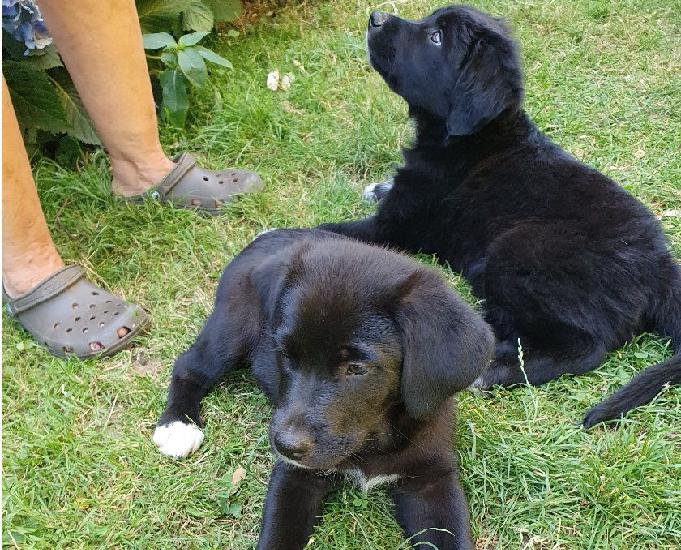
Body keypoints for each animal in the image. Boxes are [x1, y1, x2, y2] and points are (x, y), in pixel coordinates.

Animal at [153, 230, 494, 550]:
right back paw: (177, 426)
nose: (286, 446)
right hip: (234, 325)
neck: (374, 438)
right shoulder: (295, 475)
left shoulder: (432, 477)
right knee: (189, 367)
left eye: (356, 368)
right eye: (285, 355)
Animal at [320, 4, 680, 430]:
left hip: (518, 250)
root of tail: (662, 267)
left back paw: (491, 368)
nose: (375, 16)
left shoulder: (395, 227)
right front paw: (376, 187)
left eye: (436, 38)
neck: (470, 138)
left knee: (585, 346)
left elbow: (326, 232)